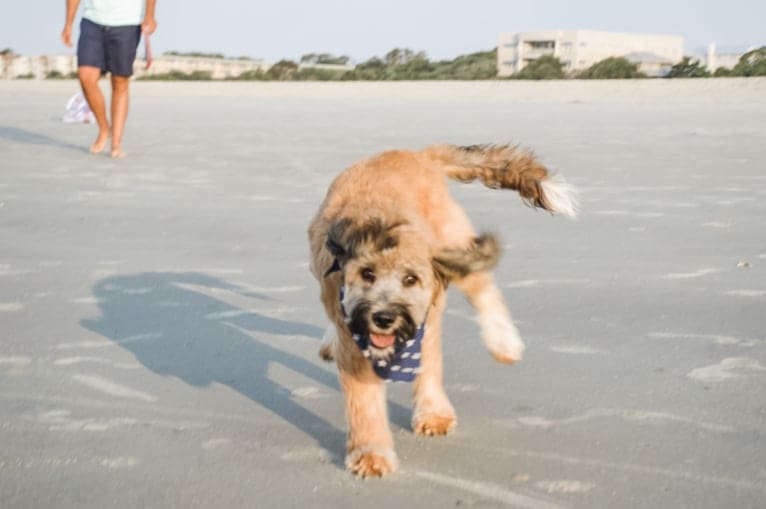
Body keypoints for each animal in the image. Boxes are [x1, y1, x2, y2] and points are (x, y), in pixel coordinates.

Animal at [308, 142, 580, 476]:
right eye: (367, 274)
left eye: (410, 279)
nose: (384, 318)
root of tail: (415, 154)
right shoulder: (353, 335)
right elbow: (364, 401)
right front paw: (371, 453)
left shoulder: (426, 319)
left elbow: (429, 364)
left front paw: (433, 414)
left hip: (454, 240)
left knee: (482, 287)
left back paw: (503, 343)